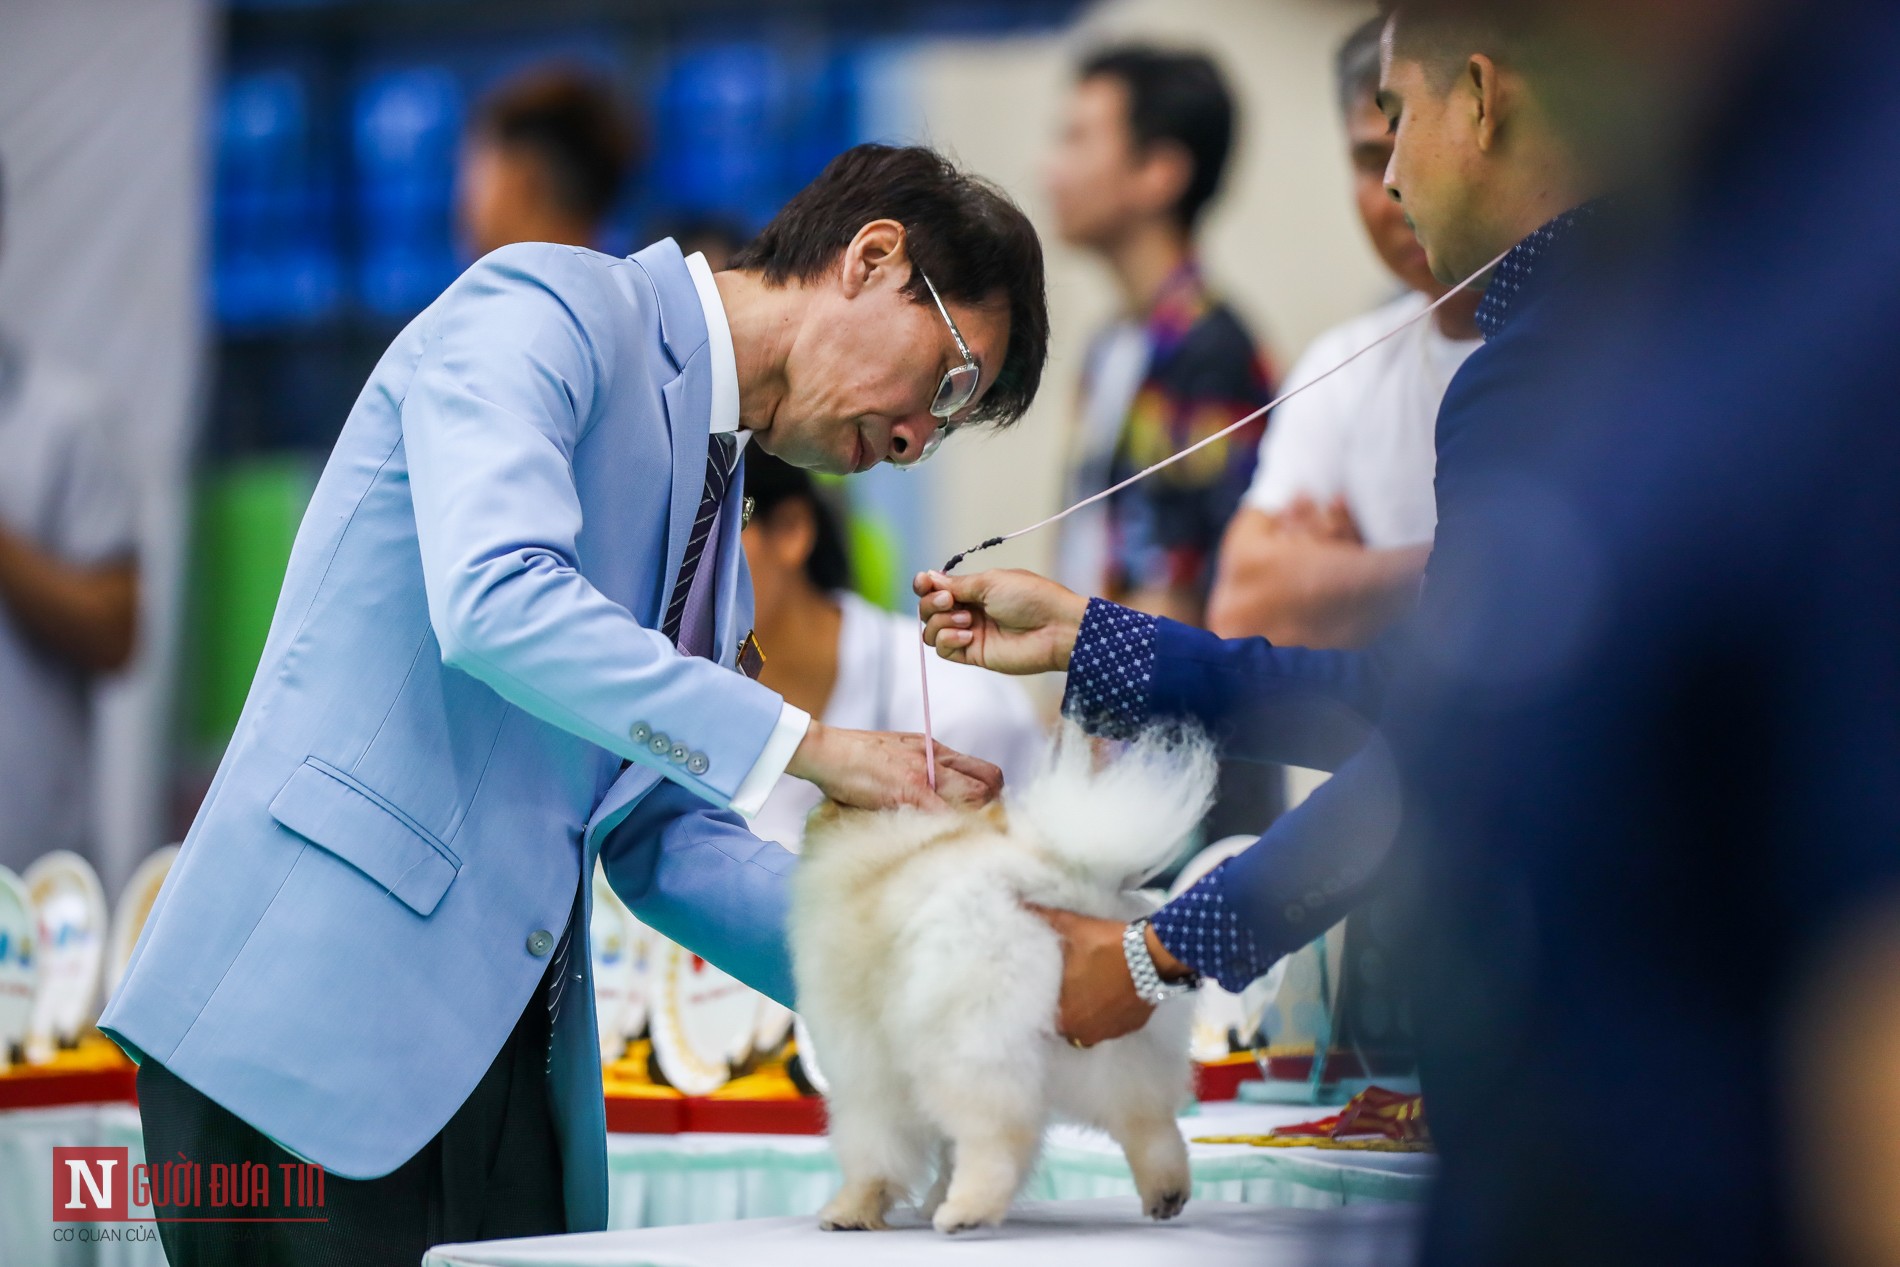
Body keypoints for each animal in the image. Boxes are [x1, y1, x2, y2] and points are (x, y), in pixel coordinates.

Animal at [790, 729, 1216, 1230]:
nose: (813, 807)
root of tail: (1055, 882)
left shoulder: (865, 1070)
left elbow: (875, 1154)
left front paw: (852, 1210)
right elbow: (944, 1151)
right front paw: (926, 1196)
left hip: (970, 1045)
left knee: (997, 1135)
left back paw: (965, 1210)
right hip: (1121, 1042)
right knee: (1148, 1121)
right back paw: (1165, 1192)